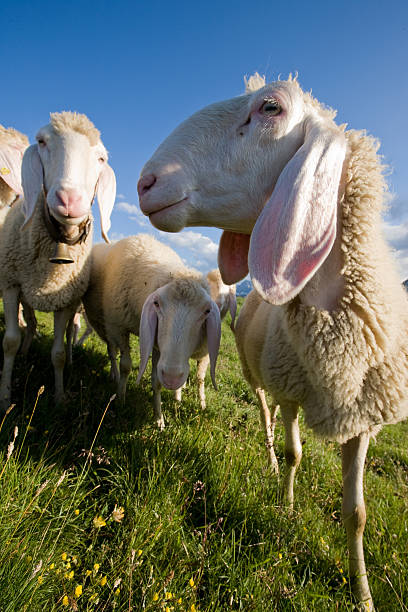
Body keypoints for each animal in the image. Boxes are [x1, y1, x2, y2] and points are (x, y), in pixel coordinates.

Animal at [0, 112, 115, 408]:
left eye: (101, 158)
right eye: (41, 142)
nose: (69, 200)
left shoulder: (65, 301)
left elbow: (59, 353)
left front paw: (60, 396)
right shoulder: (10, 285)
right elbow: (10, 341)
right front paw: (5, 397)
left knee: (64, 332)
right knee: (28, 324)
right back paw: (26, 350)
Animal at [81, 234, 222, 430]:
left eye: (207, 311)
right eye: (156, 303)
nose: (172, 377)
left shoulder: (157, 344)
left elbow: (156, 382)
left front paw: (159, 419)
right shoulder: (119, 327)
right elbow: (125, 365)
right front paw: (121, 399)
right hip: (105, 324)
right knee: (111, 350)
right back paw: (114, 375)